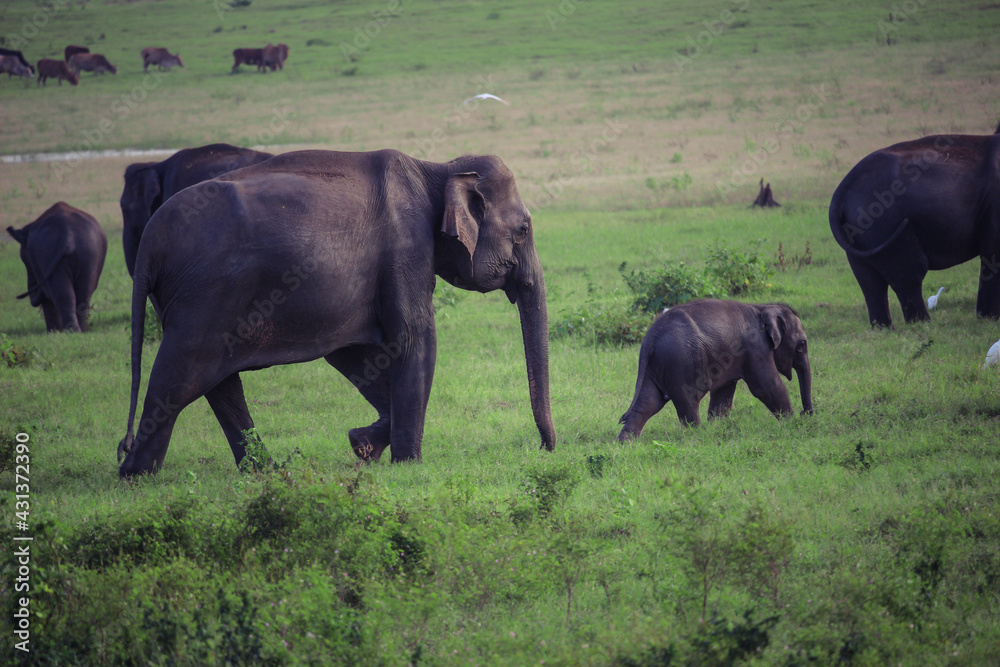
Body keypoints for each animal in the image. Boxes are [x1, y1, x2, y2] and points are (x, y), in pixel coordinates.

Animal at [6, 200, 108, 332]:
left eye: (23, 258)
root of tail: (67, 234)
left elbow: (47, 296)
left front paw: (53, 332)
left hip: (47, 253)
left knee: (62, 294)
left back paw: (70, 331)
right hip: (89, 250)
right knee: (83, 294)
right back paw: (80, 331)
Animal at [616, 300, 812, 440]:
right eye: (802, 345)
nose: (806, 414)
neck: (763, 307)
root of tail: (651, 338)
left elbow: (723, 394)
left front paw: (717, 427)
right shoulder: (757, 349)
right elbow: (766, 386)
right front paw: (792, 424)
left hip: (656, 365)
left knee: (649, 402)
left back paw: (625, 443)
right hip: (682, 363)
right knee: (687, 401)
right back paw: (697, 436)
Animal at [828, 134, 1000, 328]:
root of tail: (839, 197)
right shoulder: (994, 204)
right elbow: (993, 255)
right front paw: (989, 320)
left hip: (857, 234)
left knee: (869, 283)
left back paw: (883, 329)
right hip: (884, 224)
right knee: (908, 275)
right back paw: (923, 324)